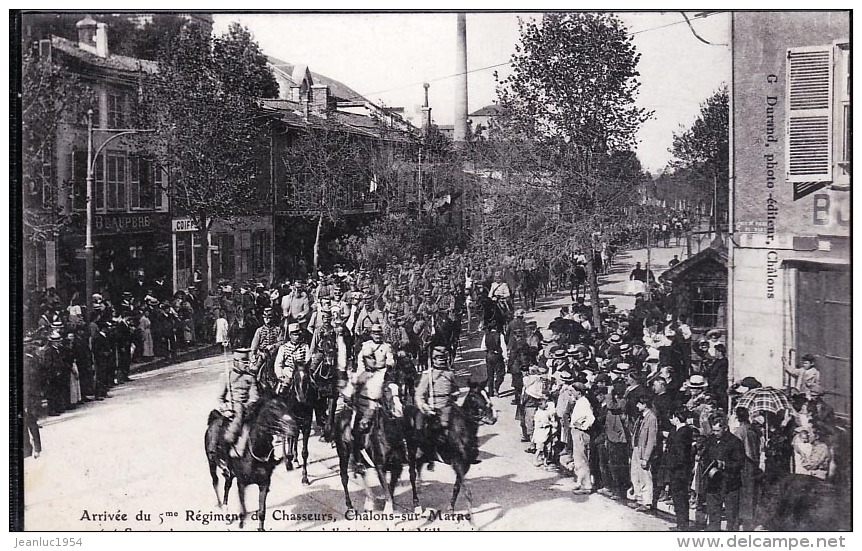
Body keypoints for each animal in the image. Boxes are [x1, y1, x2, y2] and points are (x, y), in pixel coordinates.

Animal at [204, 394, 298, 532]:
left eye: (287, 405)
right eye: (273, 407)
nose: (294, 427)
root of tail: (215, 418)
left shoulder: (264, 484)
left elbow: (262, 511)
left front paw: (261, 528)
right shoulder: (241, 483)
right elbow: (243, 509)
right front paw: (241, 523)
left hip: (229, 474)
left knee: (227, 485)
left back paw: (226, 510)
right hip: (211, 463)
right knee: (215, 482)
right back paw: (221, 506)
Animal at [404, 386, 500, 516]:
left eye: (487, 395)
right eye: (473, 396)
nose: (493, 417)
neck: (462, 430)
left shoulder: (465, 466)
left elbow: (457, 487)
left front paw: (451, 508)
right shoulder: (458, 464)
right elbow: (466, 491)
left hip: (426, 452)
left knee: (419, 465)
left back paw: (420, 487)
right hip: (412, 451)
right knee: (412, 475)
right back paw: (416, 504)